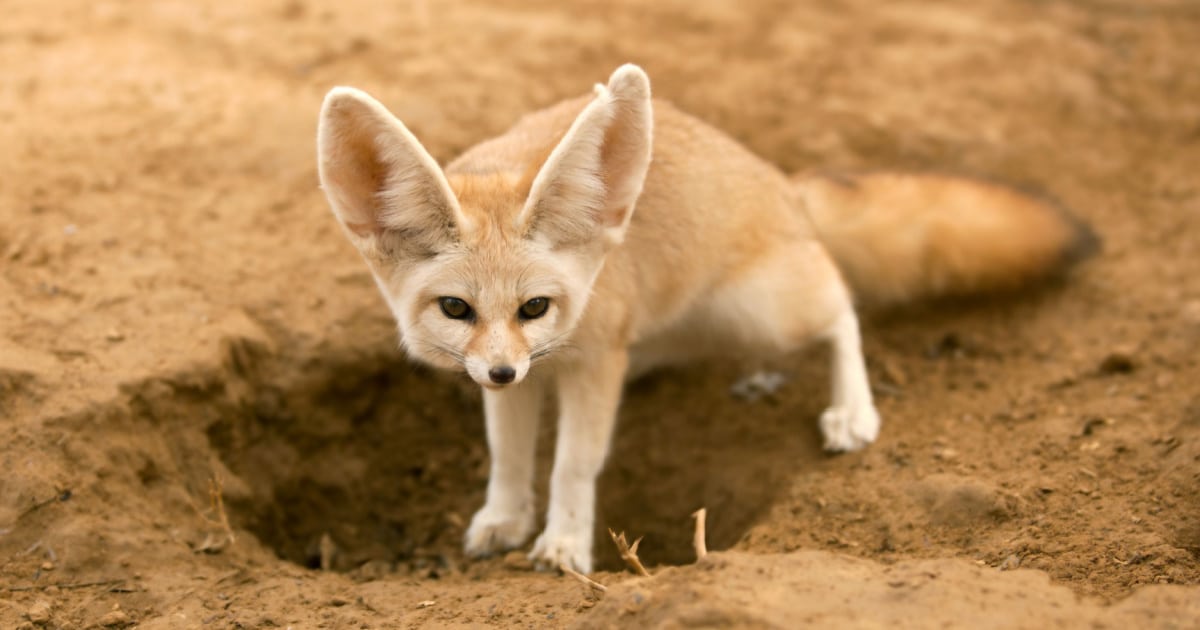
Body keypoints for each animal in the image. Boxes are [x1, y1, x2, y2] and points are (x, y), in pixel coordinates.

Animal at [314, 65, 1094, 573]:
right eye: (456, 308)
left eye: (535, 307)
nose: (503, 370)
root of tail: (785, 187)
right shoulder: (525, 376)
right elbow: (508, 455)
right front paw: (504, 519)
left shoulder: (592, 362)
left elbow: (573, 463)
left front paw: (565, 543)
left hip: (764, 309)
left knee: (842, 304)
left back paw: (851, 409)